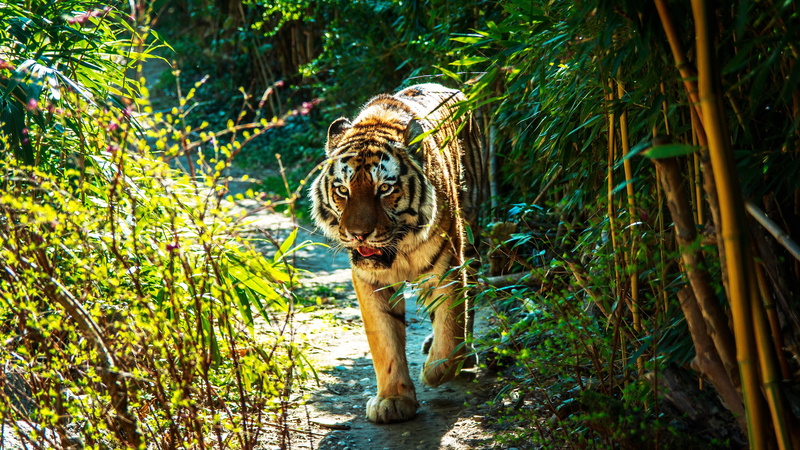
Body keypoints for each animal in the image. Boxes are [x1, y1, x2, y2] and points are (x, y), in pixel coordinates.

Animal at [309, 83, 485, 424]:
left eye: (385, 189)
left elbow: (451, 328)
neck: (398, 249)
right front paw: (392, 401)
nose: (358, 234)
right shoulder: (370, 280)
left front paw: (435, 370)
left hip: (471, 232)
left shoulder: (446, 267)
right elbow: (385, 340)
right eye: (343, 190)